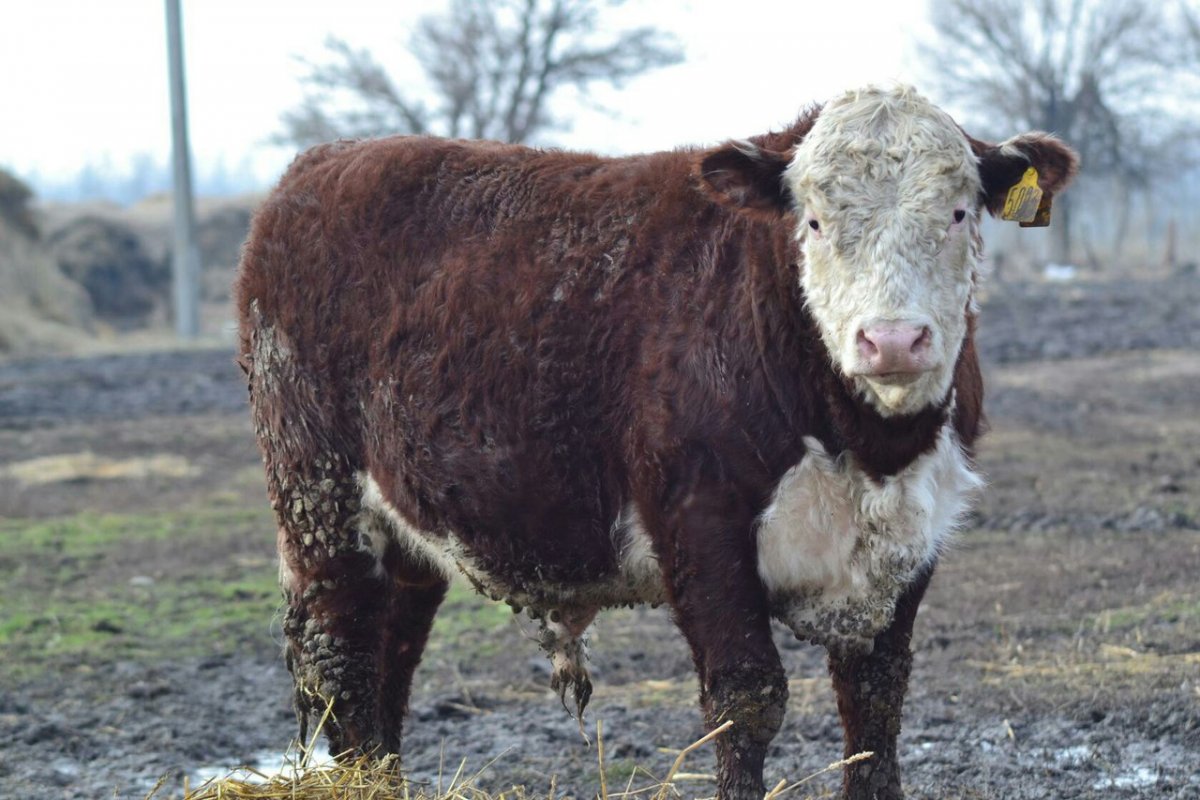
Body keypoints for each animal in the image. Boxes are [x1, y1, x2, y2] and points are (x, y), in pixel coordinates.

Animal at [234, 87, 1080, 800]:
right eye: (811, 221)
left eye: (960, 212)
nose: (893, 340)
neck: (869, 445)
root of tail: (322, 164)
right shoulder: (700, 524)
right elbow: (747, 698)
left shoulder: (914, 537)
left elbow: (875, 703)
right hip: (318, 495)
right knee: (341, 654)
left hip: (403, 531)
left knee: (391, 656)